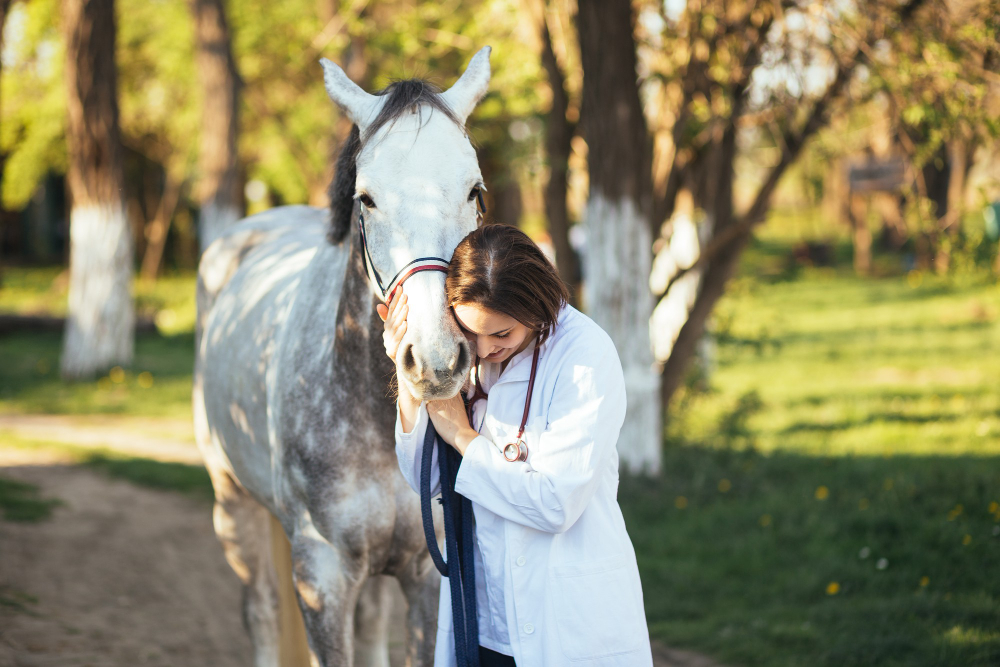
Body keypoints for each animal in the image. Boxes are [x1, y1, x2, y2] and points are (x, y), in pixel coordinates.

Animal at [192, 49, 492, 664]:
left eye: (474, 191)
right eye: (366, 198)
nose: (436, 359)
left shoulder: (429, 573)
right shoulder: (323, 576)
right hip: (233, 503)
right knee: (260, 609)